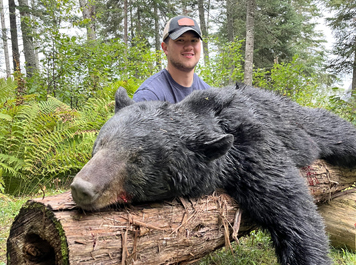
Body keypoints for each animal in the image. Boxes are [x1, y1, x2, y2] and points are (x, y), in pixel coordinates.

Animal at [70, 84, 356, 264]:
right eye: (100, 144)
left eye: (137, 160)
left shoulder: (255, 149)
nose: (82, 188)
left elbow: (296, 215)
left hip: (306, 124)